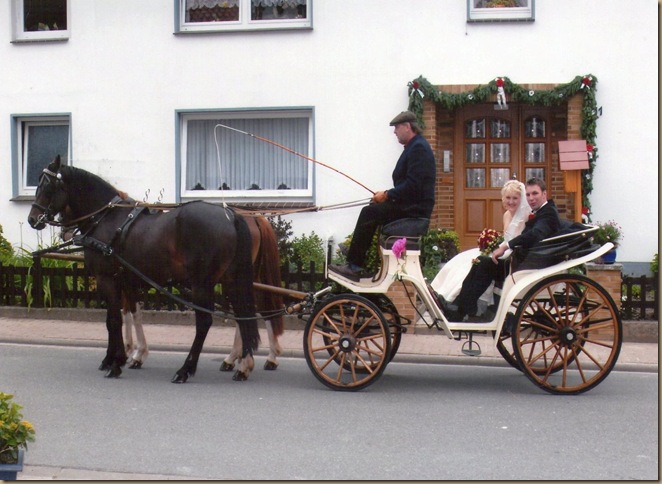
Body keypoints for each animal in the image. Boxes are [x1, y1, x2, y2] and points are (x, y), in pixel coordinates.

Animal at [26, 157, 264, 384]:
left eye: (48, 186)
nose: (32, 219)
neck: (106, 219)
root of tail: (231, 216)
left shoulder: (106, 279)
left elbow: (114, 320)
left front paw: (116, 363)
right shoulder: (125, 280)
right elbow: (119, 317)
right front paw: (116, 358)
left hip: (201, 284)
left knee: (205, 322)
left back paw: (185, 370)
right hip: (231, 281)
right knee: (243, 316)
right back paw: (243, 366)